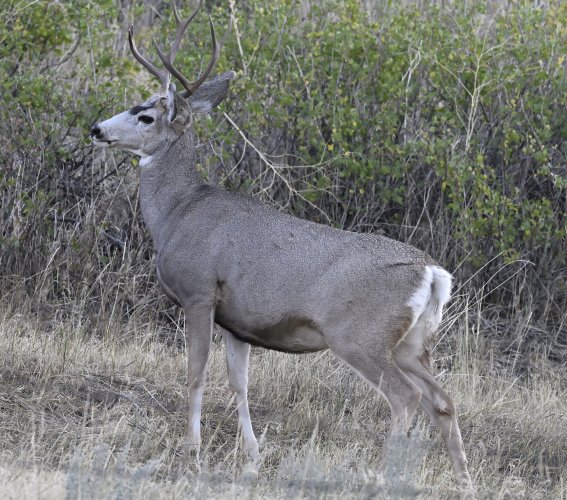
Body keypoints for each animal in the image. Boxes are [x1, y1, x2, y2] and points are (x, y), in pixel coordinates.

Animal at [91, 2, 474, 496]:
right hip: (411, 341)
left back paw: (382, 476)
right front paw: (252, 455)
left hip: (360, 336)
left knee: (405, 397)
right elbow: (240, 384)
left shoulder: (199, 293)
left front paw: (191, 449)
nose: (96, 128)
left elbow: (196, 373)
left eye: (146, 116)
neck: (178, 212)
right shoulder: (238, 320)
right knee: (442, 399)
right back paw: (464, 482)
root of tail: (431, 273)